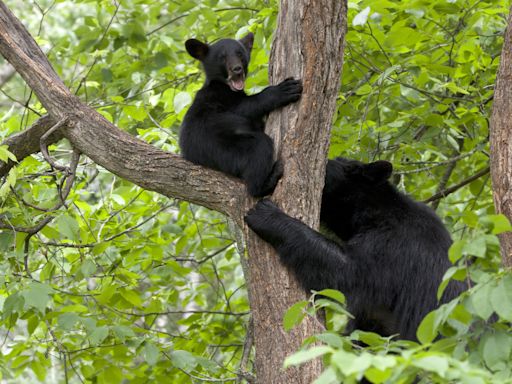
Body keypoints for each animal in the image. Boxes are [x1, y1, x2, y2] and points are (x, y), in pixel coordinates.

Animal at [180, 31, 302, 196]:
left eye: (240, 54)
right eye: (222, 57)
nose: (237, 69)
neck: (226, 87)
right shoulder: (218, 99)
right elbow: (245, 107)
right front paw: (284, 90)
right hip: (224, 150)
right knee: (260, 147)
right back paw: (267, 180)